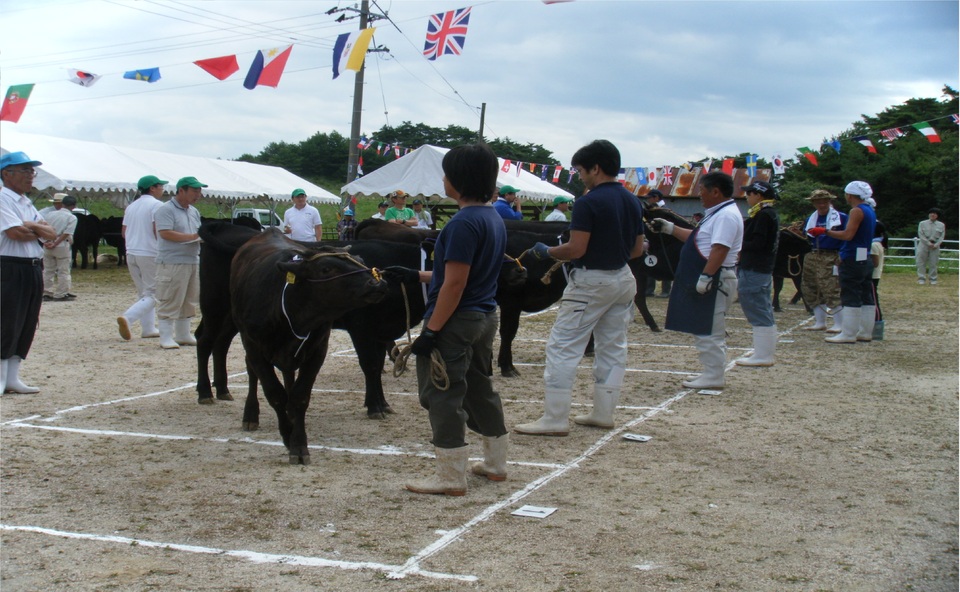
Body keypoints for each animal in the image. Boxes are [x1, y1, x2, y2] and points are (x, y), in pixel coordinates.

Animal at [229, 227, 386, 462]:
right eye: (326, 268)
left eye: (360, 260)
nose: (377, 283)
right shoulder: (254, 347)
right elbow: (274, 393)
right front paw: (287, 435)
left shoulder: (317, 350)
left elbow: (300, 396)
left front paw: (298, 442)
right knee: (252, 373)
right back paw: (251, 415)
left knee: (288, 377)